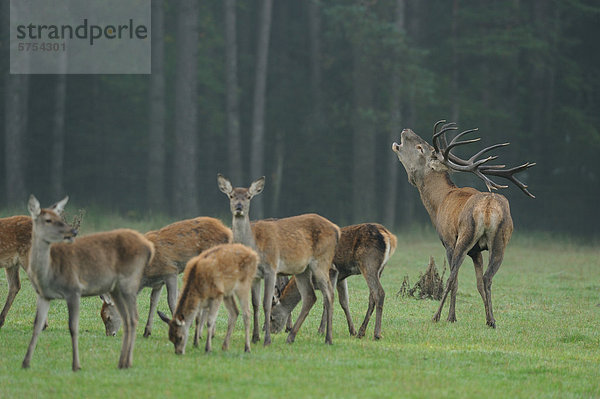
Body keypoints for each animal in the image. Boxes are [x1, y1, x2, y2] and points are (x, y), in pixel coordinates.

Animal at [22, 197, 155, 372]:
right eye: (48, 219)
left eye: (59, 218)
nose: (72, 231)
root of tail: (149, 247)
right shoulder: (43, 295)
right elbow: (37, 325)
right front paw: (25, 362)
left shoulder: (74, 290)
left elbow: (73, 327)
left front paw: (76, 365)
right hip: (117, 288)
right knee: (127, 319)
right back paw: (122, 362)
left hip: (128, 281)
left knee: (133, 317)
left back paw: (127, 362)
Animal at [99, 217, 231, 340]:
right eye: (102, 317)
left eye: (108, 317)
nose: (110, 334)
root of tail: (227, 231)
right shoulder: (158, 283)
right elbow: (153, 302)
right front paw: (147, 332)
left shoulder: (170, 271)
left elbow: (172, 300)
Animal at [217, 175, 340, 346]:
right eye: (231, 195)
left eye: (248, 196)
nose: (239, 207)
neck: (255, 245)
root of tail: (337, 229)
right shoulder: (255, 275)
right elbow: (255, 304)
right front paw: (255, 338)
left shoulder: (271, 267)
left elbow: (266, 303)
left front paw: (267, 340)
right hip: (303, 269)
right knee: (310, 296)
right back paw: (291, 336)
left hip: (321, 261)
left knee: (329, 294)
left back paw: (328, 338)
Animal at [392, 122, 536, 328]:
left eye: (421, 148)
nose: (406, 130)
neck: (438, 204)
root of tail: (488, 208)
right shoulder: (477, 252)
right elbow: (478, 283)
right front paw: (487, 317)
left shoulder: (448, 242)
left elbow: (455, 280)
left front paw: (451, 317)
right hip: (501, 240)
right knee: (487, 278)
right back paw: (492, 321)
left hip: (464, 236)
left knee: (453, 278)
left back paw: (436, 316)